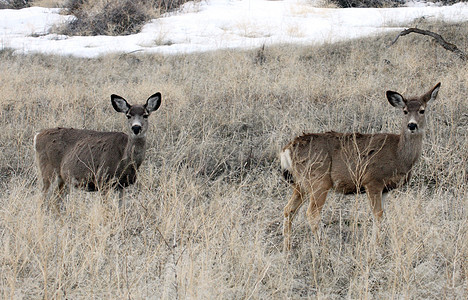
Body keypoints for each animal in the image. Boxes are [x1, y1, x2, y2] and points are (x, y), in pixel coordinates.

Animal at [280, 82, 440, 251]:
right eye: (405, 111)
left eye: (422, 110)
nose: (412, 125)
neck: (399, 154)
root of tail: (287, 150)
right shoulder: (372, 180)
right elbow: (377, 214)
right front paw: (374, 245)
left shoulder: (385, 189)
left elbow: (382, 214)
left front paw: (378, 242)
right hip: (318, 180)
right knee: (312, 213)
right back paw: (324, 247)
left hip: (301, 184)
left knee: (288, 210)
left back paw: (287, 248)